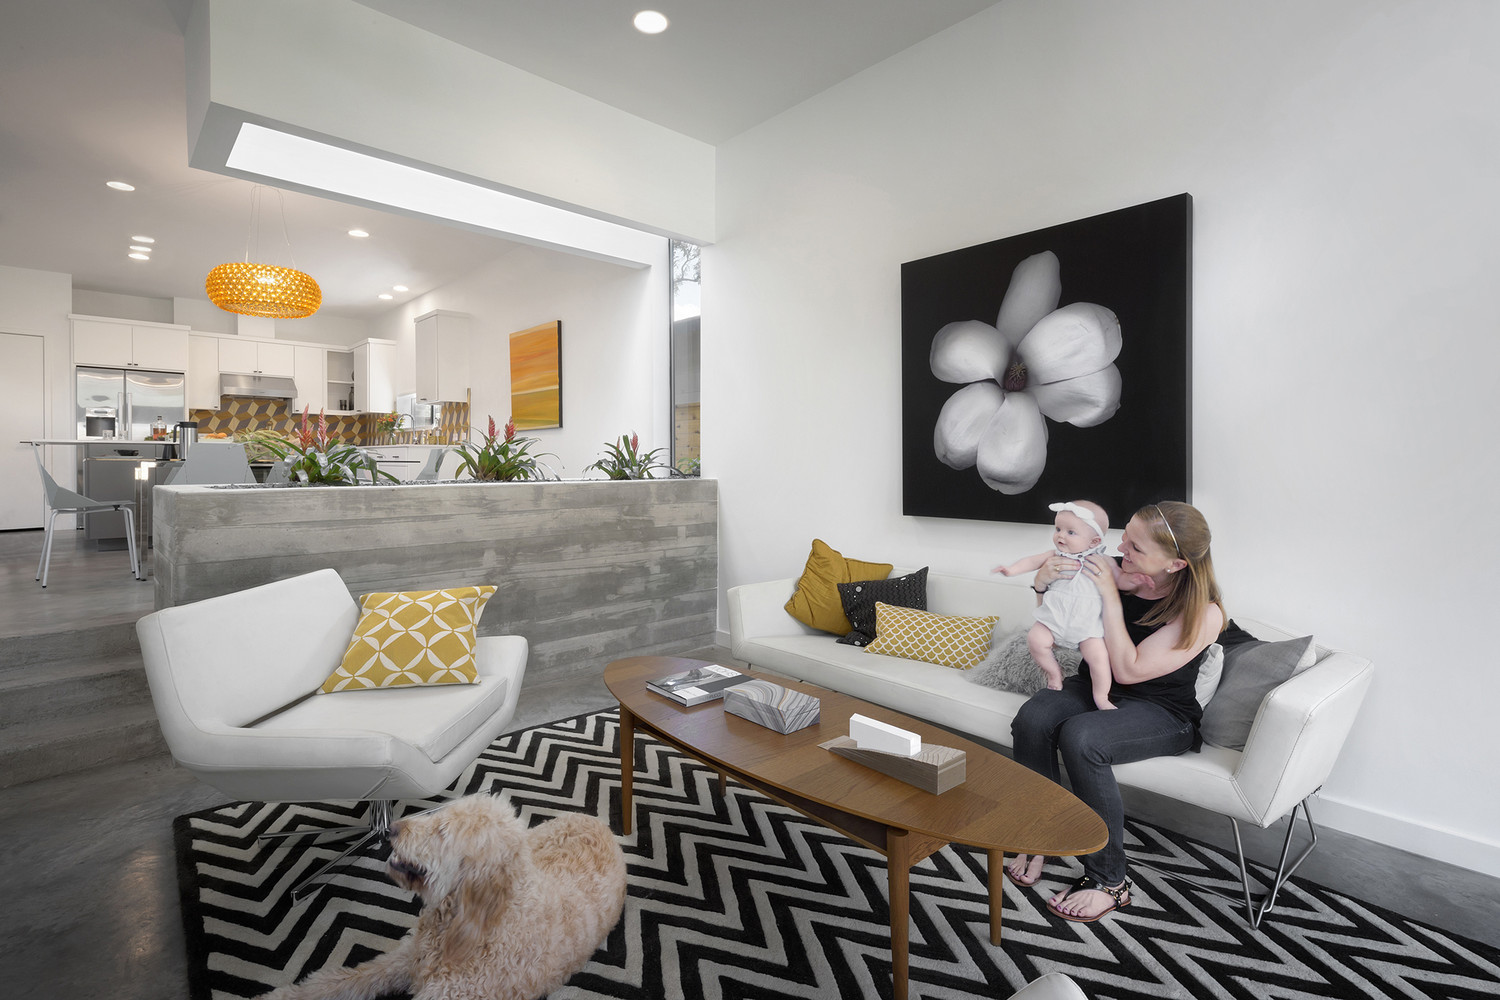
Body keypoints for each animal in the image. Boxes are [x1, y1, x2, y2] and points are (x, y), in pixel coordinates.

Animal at [264, 791, 627, 1000]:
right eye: (438, 815)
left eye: (442, 832)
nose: (391, 829)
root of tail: (600, 822)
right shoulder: (404, 959)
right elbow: (340, 980)